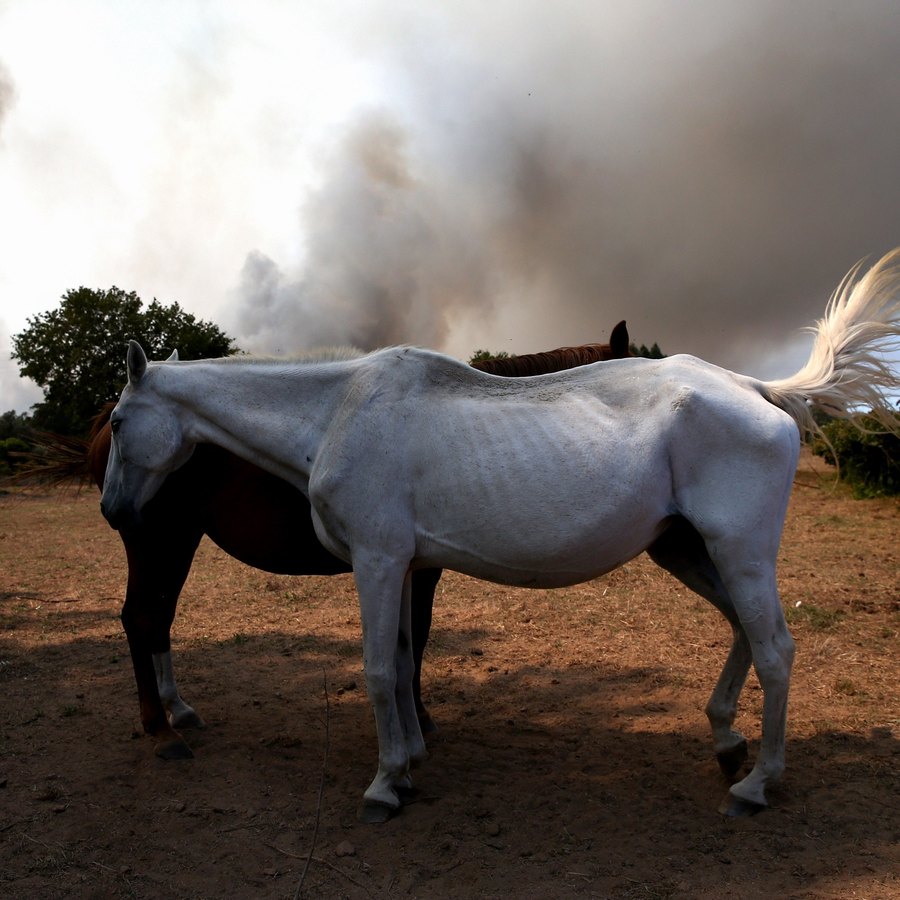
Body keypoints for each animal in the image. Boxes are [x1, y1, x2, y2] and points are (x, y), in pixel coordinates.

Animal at [52, 322, 628, 760]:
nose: (111, 508)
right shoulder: (417, 567)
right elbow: (414, 641)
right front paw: (418, 719)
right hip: (154, 541)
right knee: (139, 618)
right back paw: (160, 730)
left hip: (174, 543)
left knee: (159, 618)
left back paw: (177, 710)